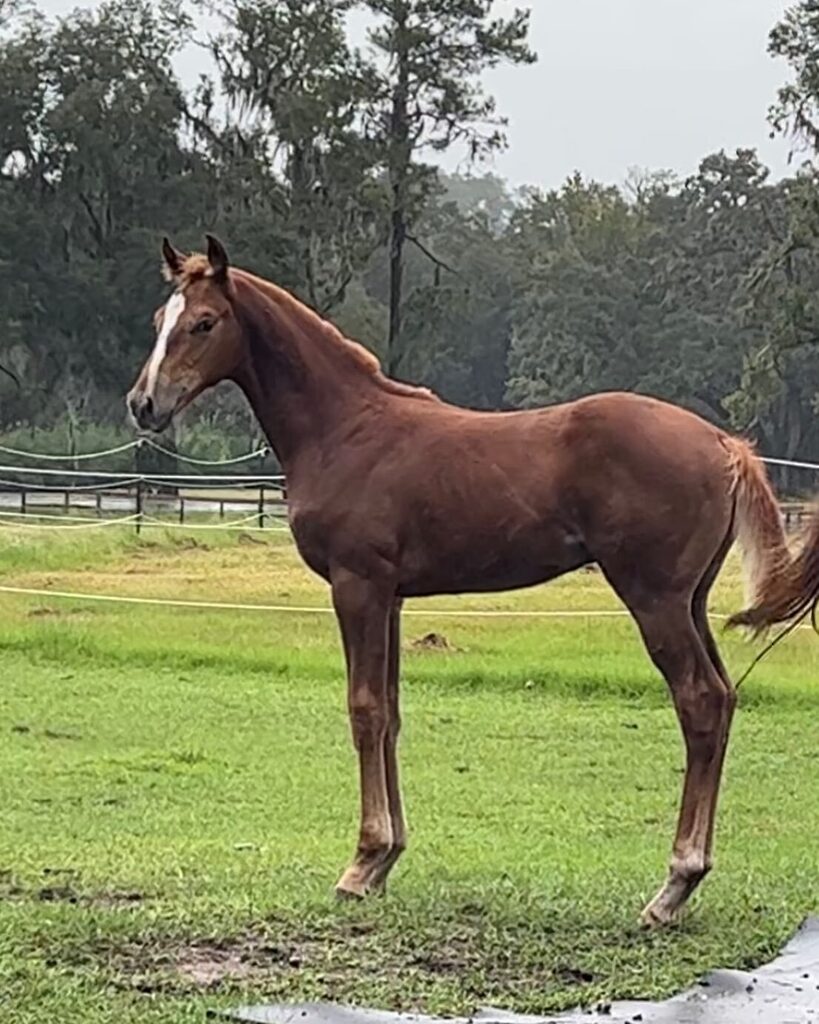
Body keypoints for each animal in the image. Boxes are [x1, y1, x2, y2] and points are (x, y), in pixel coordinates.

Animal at [127, 234, 819, 927]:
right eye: (159, 320)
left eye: (205, 322)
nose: (143, 405)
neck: (346, 427)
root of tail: (725, 444)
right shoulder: (392, 598)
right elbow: (392, 712)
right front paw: (386, 859)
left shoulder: (357, 586)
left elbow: (364, 709)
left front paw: (361, 863)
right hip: (691, 602)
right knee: (723, 698)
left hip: (655, 601)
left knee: (698, 701)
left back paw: (675, 884)